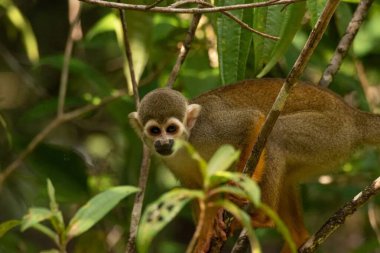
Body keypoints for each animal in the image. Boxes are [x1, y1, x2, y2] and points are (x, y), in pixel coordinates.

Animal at [128, 78, 380, 252]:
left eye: (171, 128)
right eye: (154, 130)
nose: (163, 142)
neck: (187, 142)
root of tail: (354, 117)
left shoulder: (207, 129)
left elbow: (251, 121)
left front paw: (237, 185)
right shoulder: (171, 161)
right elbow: (200, 190)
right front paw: (206, 235)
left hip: (331, 134)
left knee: (275, 134)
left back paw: (261, 218)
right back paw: (298, 237)